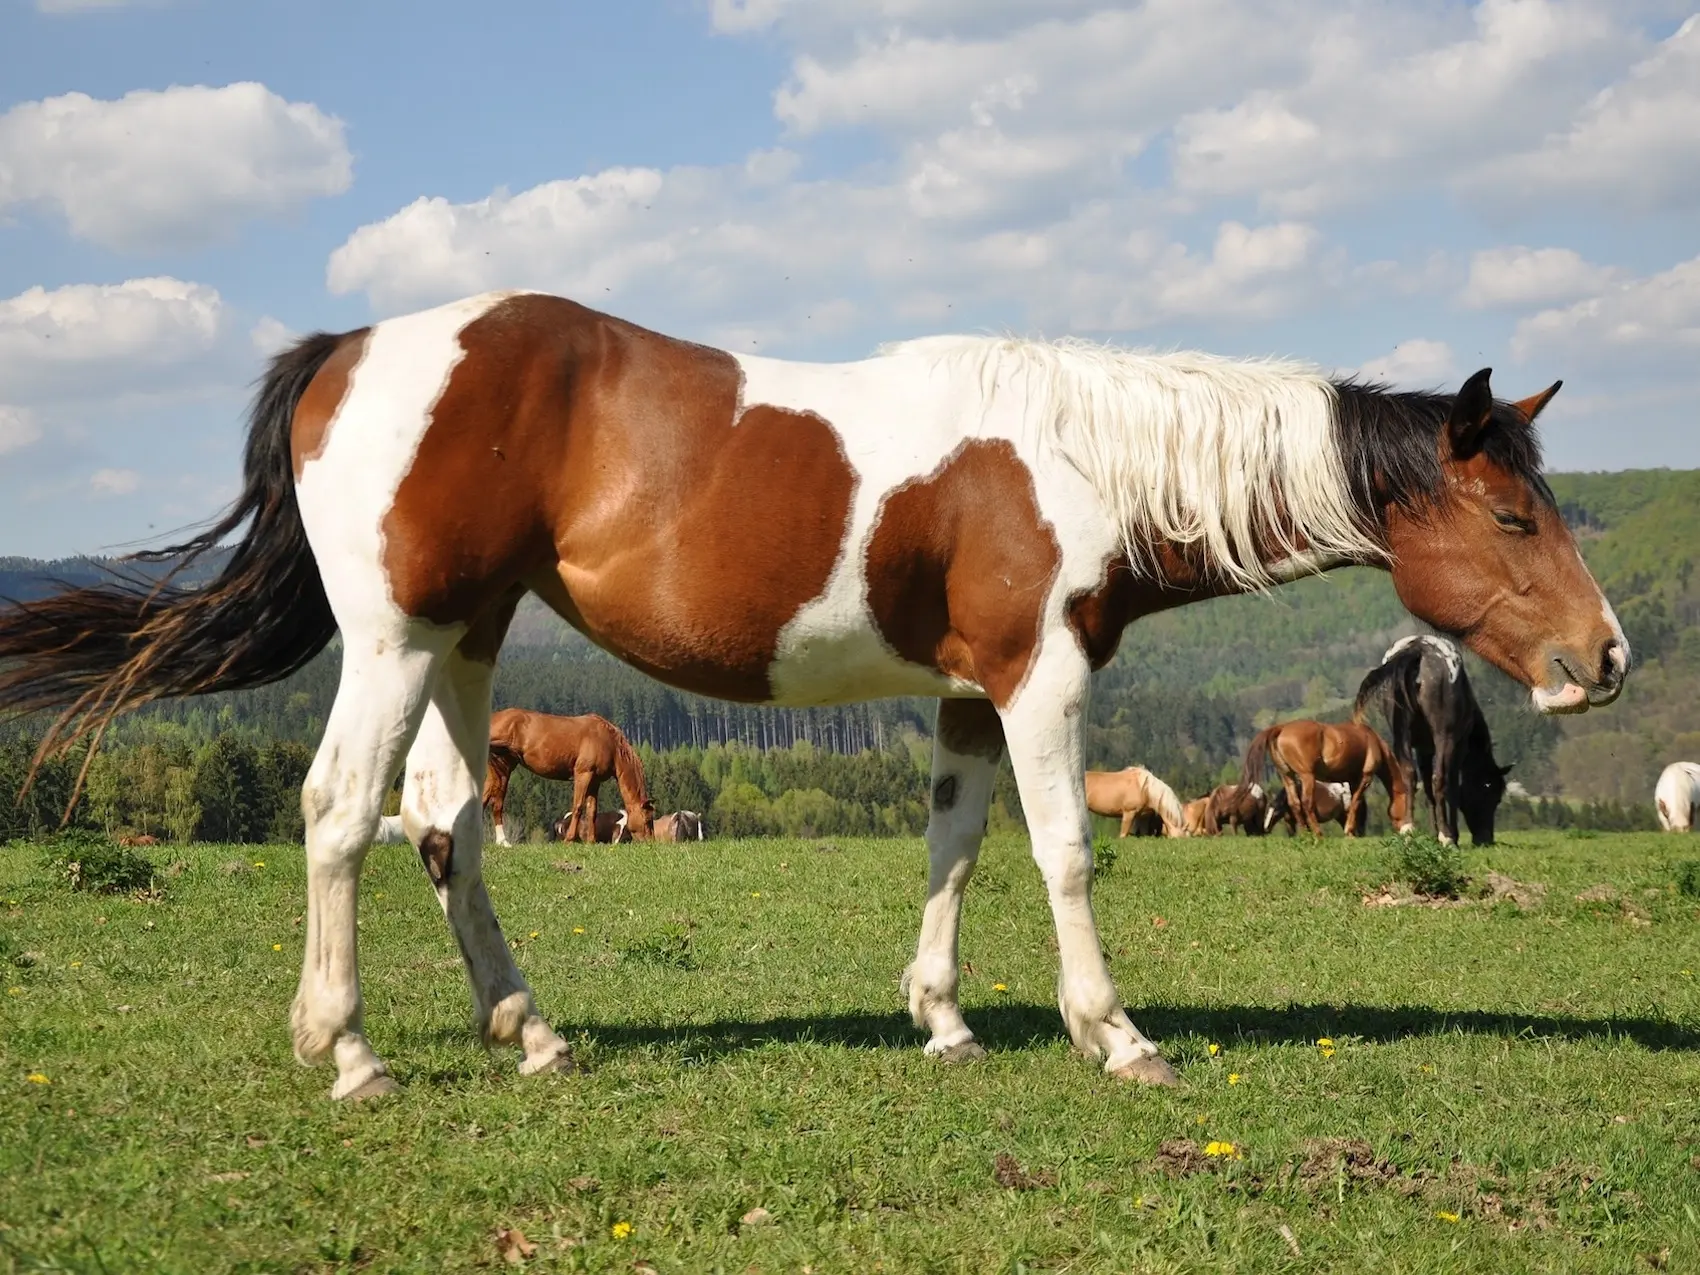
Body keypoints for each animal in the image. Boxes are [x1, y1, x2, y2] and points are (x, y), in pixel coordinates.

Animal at [489, 710, 659, 850]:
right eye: (647, 820)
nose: (651, 843)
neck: (607, 741)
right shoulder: (583, 774)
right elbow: (578, 807)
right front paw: (570, 839)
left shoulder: (595, 781)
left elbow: (592, 810)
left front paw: (591, 841)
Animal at [1244, 720, 1414, 839]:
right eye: (1406, 806)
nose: (1406, 830)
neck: (1372, 741)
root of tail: (1281, 728)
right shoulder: (1366, 777)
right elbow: (1355, 803)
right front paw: (1349, 831)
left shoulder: (1352, 781)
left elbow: (1356, 804)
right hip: (1306, 776)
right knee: (1306, 803)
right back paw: (1318, 834)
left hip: (1287, 776)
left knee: (1295, 804)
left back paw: (1306, 835)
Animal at [1353, 632, 1516, 850]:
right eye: (1492, 796)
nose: (1485, 839)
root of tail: (1418, 650)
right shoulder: (1457, 747)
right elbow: (1451, 787)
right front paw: (1450, 835)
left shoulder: (1423, 750)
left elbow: (1427, 790)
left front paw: (1433, 833)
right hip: (1443, 738)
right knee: (1440, 779)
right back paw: (1446, 837)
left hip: (1401, 735)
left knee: (1409, 776)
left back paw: (1409, 830)